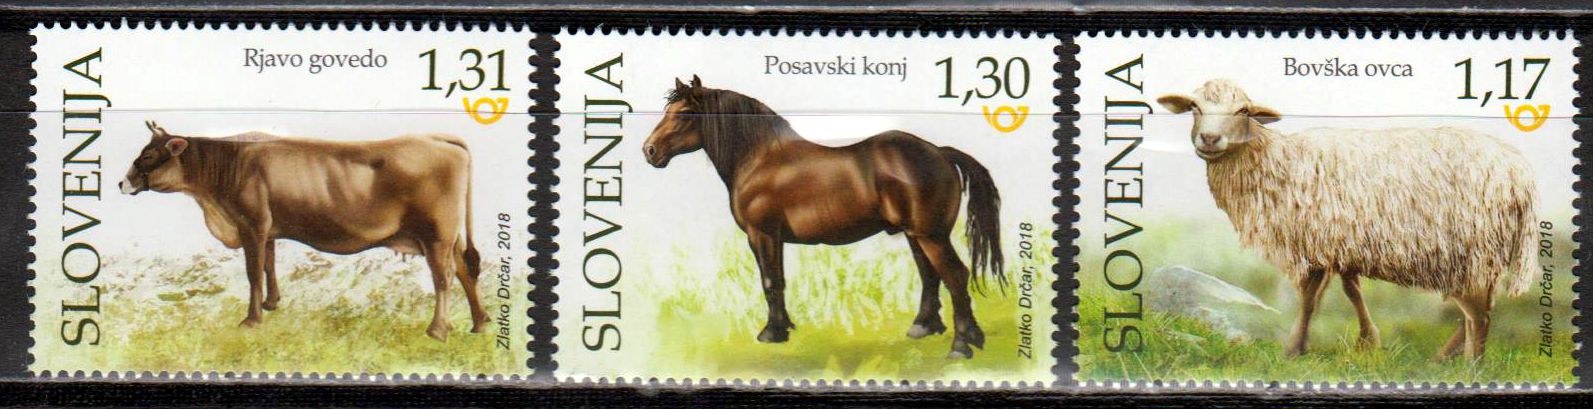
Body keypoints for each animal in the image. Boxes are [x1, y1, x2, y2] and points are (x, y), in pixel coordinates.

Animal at [642, 75, 1006, 359]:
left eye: (685, 113)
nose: (649, 151)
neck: (760, 159)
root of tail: (940, 152)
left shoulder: (761, 234)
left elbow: (770, 281)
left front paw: (771, 333)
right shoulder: (773, 239)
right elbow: (778, 280)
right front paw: (785, 327)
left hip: (931, 236)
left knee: (955, 276)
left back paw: (962, 345)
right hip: (916, 235)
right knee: (930, 276)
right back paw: (926, 328)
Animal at [1156, 79, 1539, 360]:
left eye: (1243, 110)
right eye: (1195, 107)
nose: (1209, 138)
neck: (1273, 160)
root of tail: (1520, 173)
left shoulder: (1312, 240)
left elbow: (1310, 297)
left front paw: (1293, 350)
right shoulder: (1340, 242)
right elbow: (1349, 288)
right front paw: (1367, 340)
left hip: (1472, 247)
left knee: (1478, 314)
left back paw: (1470, 367)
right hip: (1483, 256)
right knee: (1482, 308)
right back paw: (1443, 359)